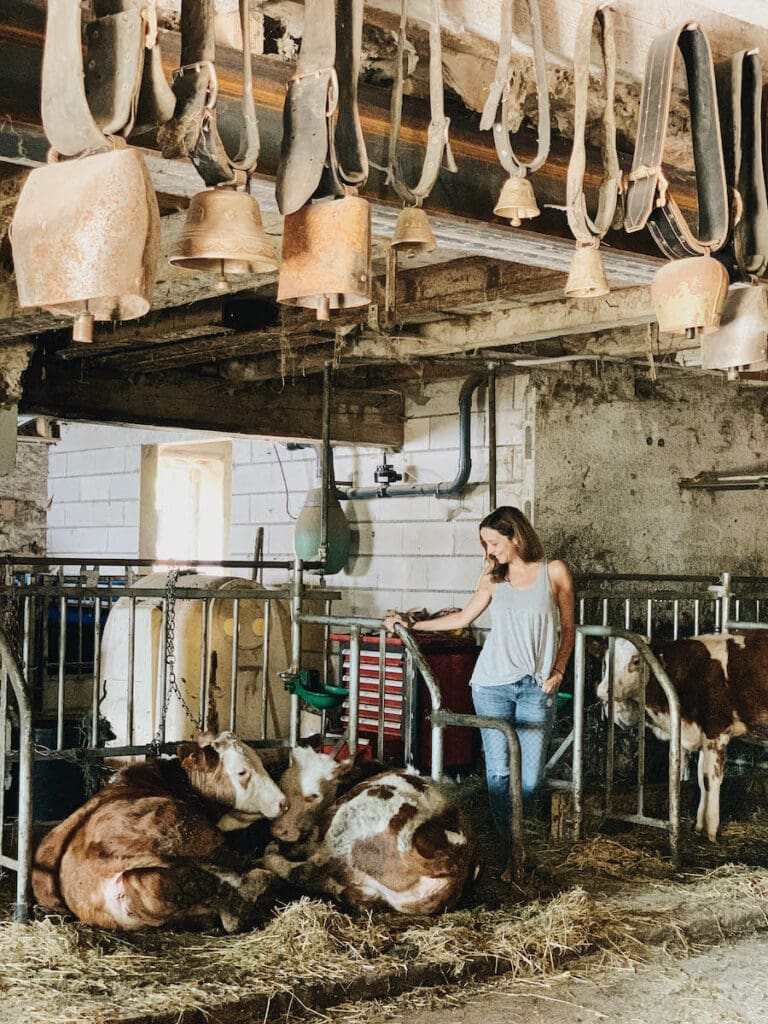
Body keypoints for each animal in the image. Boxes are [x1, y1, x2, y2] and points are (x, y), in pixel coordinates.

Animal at [268, 741, 479, 917]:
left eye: (313, 795)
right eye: (282, 786)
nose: (277, 830)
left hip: (343, 835)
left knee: (303, 871)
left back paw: (271, 854)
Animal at [598, 634, 768, 843]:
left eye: (636, 661)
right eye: (605, 662)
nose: (601, 691)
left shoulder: (716, 731)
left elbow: (711, 780)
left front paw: (711, 832)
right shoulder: (702, 738)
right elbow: (701, 779)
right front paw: (699, 826)